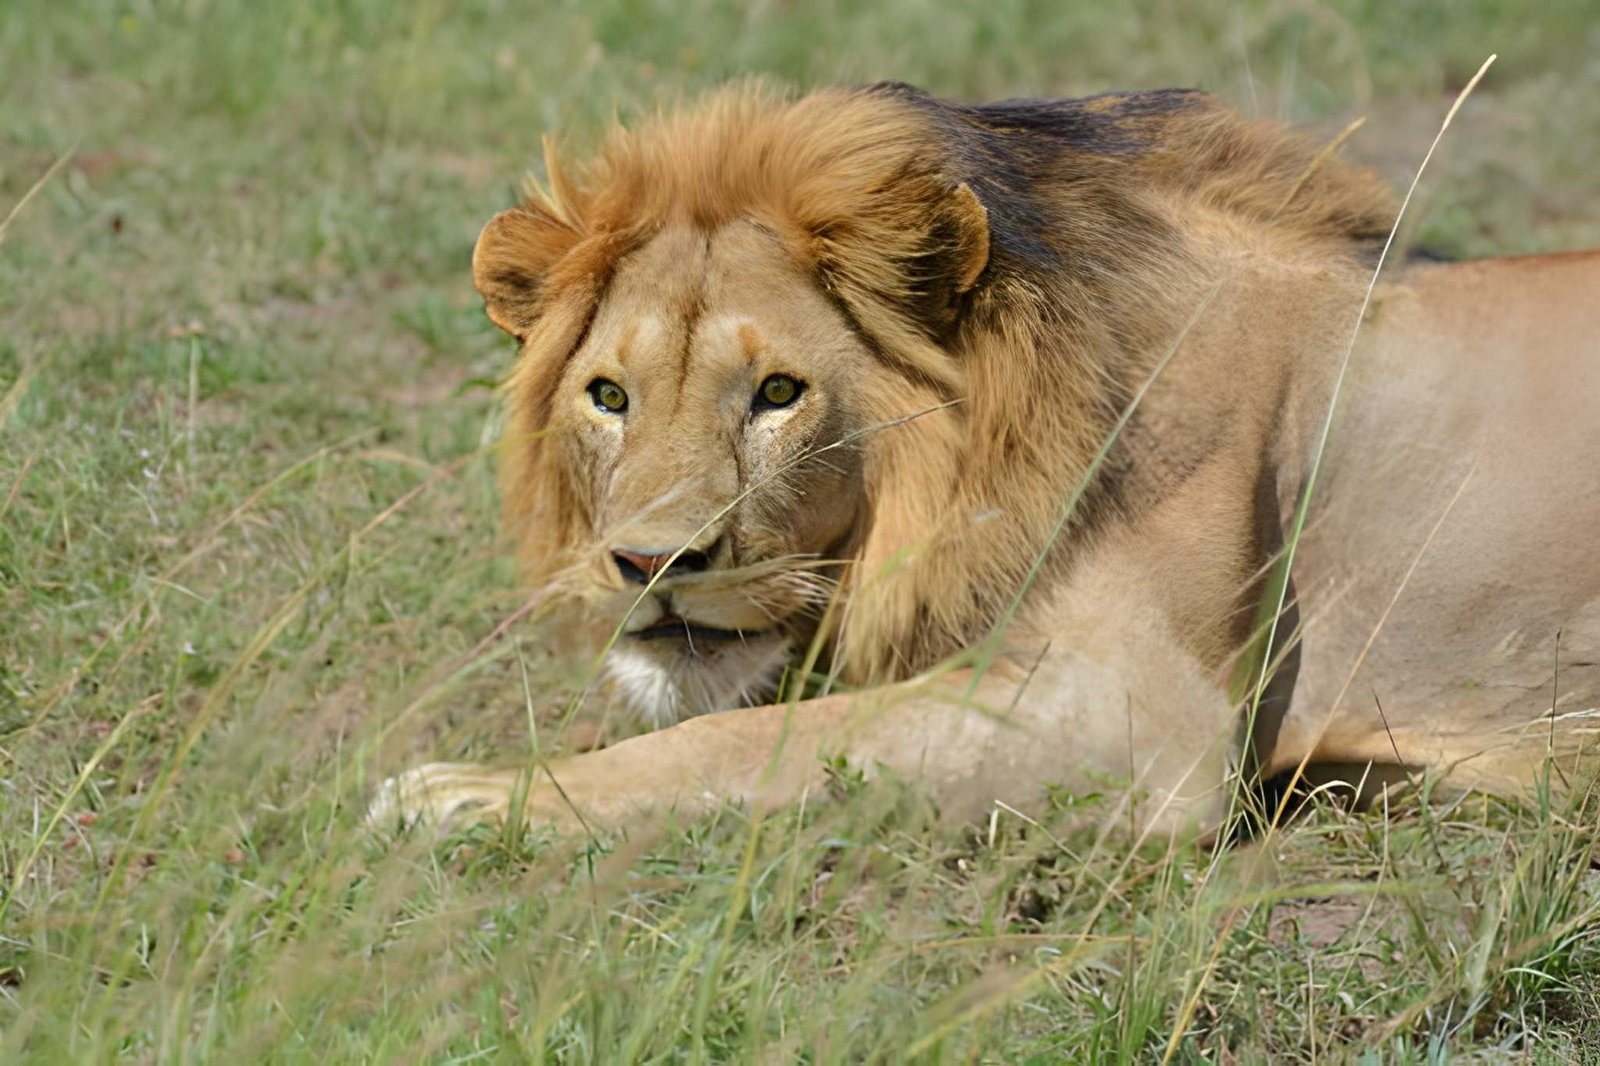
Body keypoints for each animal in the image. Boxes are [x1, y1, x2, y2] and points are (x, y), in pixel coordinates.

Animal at [372, 83, 1600, 838]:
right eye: (608, 397)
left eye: (778, 393)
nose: (651, 567)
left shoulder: (1148, 717)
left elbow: (750, 738)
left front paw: (465, 792)